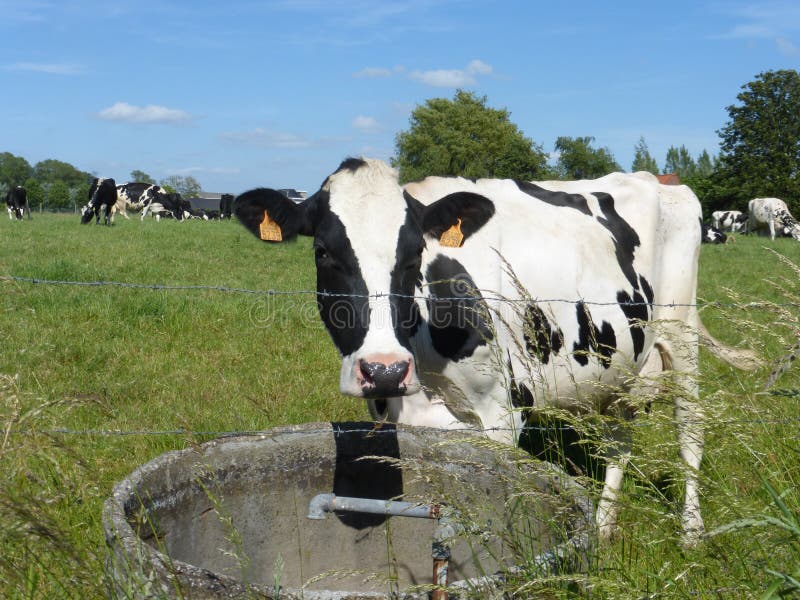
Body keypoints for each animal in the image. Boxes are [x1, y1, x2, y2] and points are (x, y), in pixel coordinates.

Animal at [233, 159, 756, 544]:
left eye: (414, 255)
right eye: (322, 251)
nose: (383, 370)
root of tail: (659, 178)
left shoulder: (502, 412)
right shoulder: (396, 415)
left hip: (681, 335)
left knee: (690, 431)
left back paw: (691, 533)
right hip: (620, 364)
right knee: (619, 440)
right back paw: (604, 527)